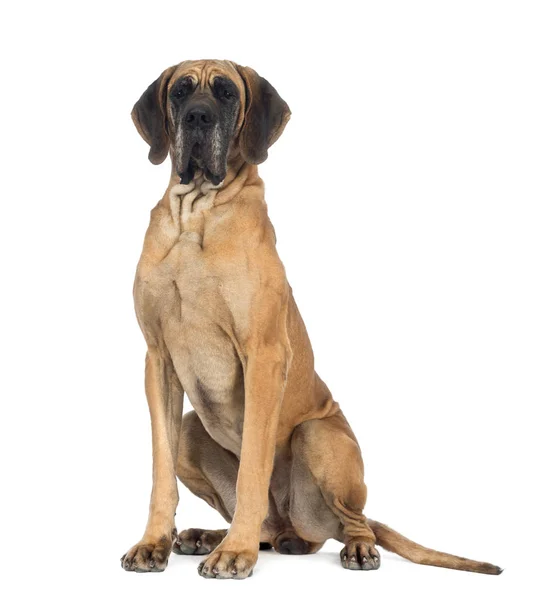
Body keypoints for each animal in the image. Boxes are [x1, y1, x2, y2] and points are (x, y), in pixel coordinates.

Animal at [120, 58, 502, 580]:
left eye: (225, 93)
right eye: (180, 92)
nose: (198, 117)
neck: (196, 215)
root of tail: (293, 525)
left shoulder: (263, 356)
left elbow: (253, 465)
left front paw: (235, 553)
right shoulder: (157, 361)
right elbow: (161, 471)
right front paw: (153, 543)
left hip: (318, 436)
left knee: (351, 520)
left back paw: (349, 547)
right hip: (192, 430)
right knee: (268, 520)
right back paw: (210, 535)